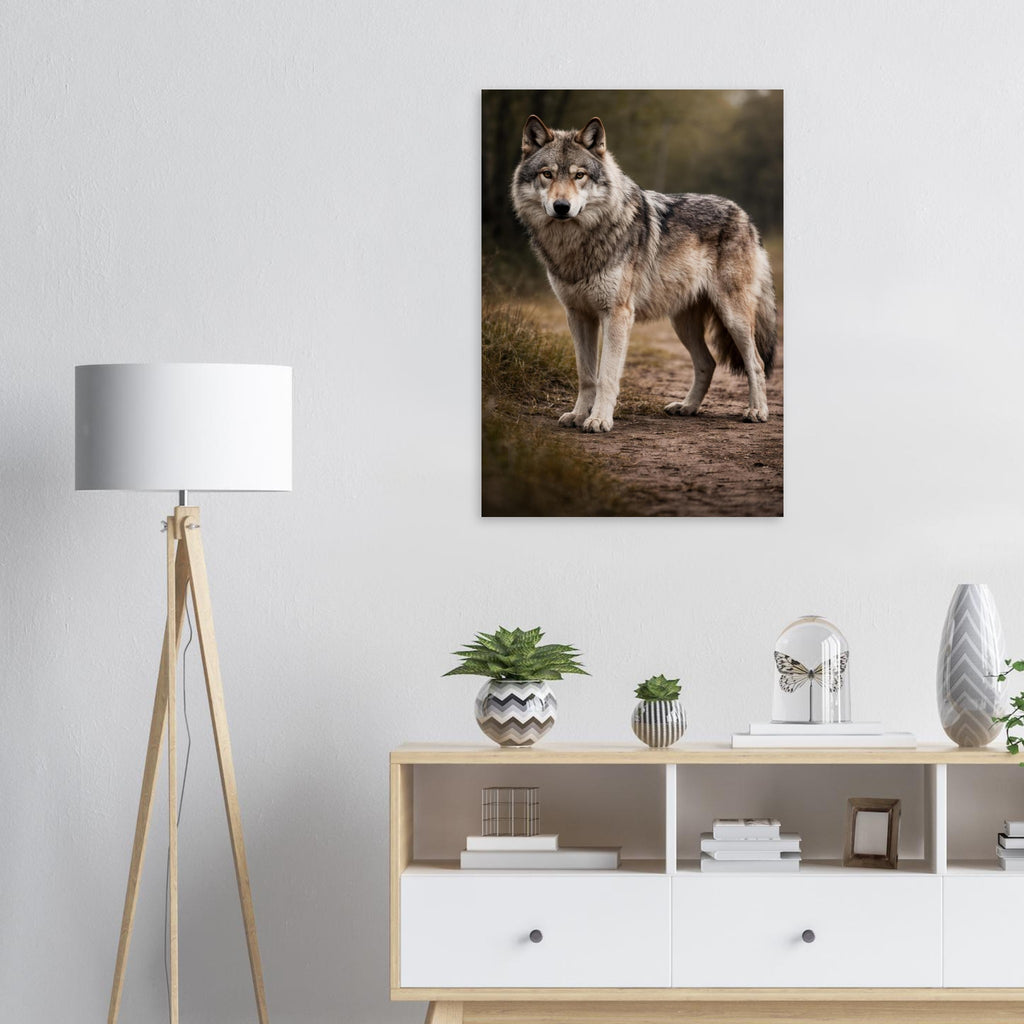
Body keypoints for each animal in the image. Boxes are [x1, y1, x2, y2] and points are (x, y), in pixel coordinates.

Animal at [511, 114, 777, 432]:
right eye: (547, 174)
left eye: (579, 175)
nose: (562, 207)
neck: (577, 244)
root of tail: (745, 216)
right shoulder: (577, 315)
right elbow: (586, 375)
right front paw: (577, 415)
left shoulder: (617, 315)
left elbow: (606, 375)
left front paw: (599, 419)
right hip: (682, 323)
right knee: (707, 363)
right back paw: (687, 407)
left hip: (733, 317)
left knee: (756, 363)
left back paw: (757, 411)